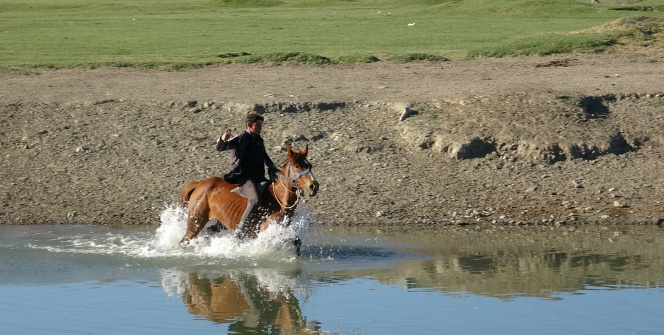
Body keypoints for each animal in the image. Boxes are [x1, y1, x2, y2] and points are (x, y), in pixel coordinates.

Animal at [179, 144, 320, 252]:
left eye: (310, 166)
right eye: (297, 166)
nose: (314, 186)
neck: (279, 202)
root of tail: (200, 184)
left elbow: (297, 241)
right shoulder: (267, 234)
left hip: (220, 223)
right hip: (195, 222)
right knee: (185, 239)